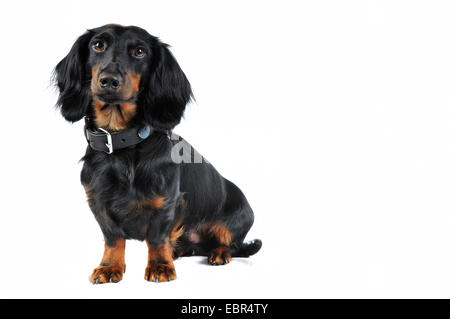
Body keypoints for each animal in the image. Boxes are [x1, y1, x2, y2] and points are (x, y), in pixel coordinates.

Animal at [54, 25, 262, 284]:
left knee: (230, 243)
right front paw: (109, 267)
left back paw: (219, 253)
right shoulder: (98, 203)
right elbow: (113, 238)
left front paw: (160, 266)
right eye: (98, 45)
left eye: (140, 51)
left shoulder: (167, 202)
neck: (121, 144)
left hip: (239, 217)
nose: (109, 80)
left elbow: (156, 238)